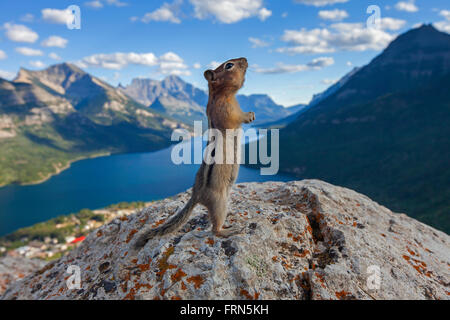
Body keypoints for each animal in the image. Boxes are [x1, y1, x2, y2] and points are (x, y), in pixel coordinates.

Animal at [132, 57, 255, 250]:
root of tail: (196, 195)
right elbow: (236, 118)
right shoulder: (225, 111)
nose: (245, 59)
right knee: (215, 229)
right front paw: (249, 115)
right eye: (229, 65)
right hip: (219, 202)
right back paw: (230, 230)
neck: (221, 95)